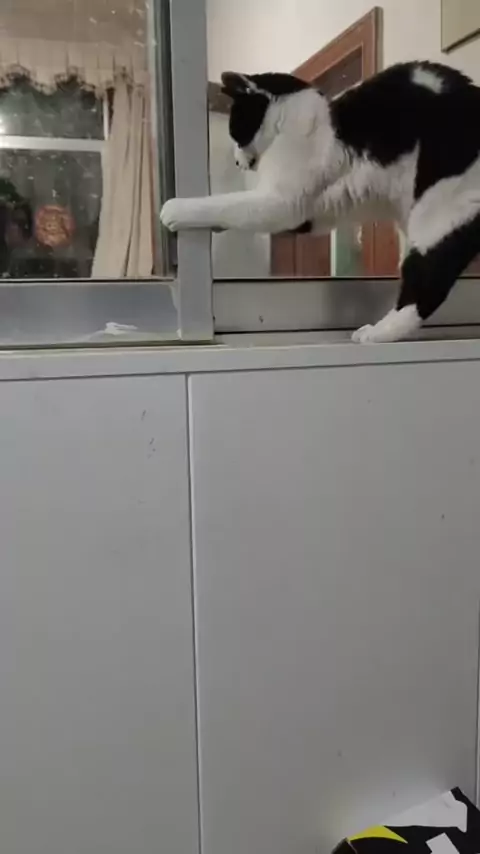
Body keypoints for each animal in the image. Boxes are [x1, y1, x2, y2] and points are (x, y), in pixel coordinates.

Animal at [161, 61, 480, 343]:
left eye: (236, 130)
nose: (238, 162)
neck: (292, 121)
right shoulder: (313, 210)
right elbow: (238, 208)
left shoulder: (283, 202)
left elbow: (228, 204)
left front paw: (175, 209)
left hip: (437, 212)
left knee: (426, 281)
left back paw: (376, 333)